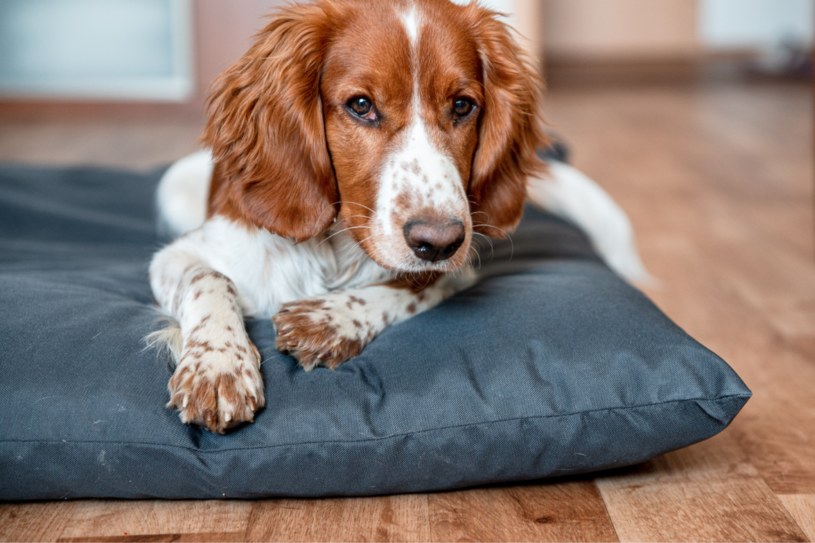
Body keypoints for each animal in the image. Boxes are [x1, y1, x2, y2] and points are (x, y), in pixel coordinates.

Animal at [148, 0, 652, 434]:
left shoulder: (460, 263)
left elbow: (415, 286)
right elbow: (210, 279)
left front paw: (331, 319)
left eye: (463, 105)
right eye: (361, 105)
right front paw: (217, 365)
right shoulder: (179, 255)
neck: (336, 253)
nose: (439, 240)